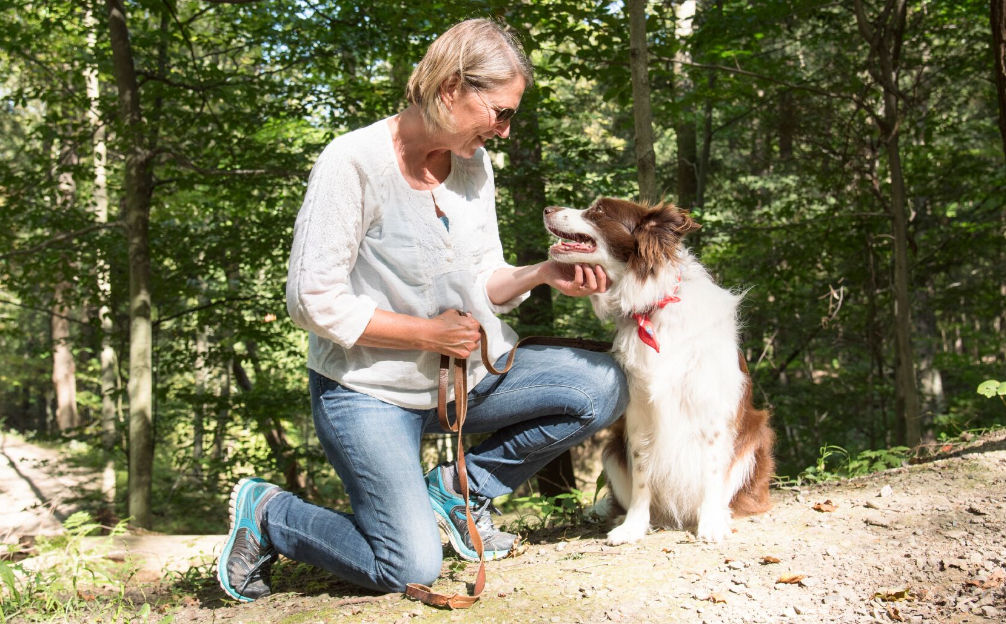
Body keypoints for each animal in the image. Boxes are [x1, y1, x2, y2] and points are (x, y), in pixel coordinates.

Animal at [547, 197, 772, 543]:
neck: (653, 308)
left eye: (598, 210)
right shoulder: (639, 411)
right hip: (611, 450)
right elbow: (642, 473)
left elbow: (712, 470)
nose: (546, 209)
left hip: (757, 436)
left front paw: (711, 522)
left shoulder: (711, 408)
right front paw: (634, 526)